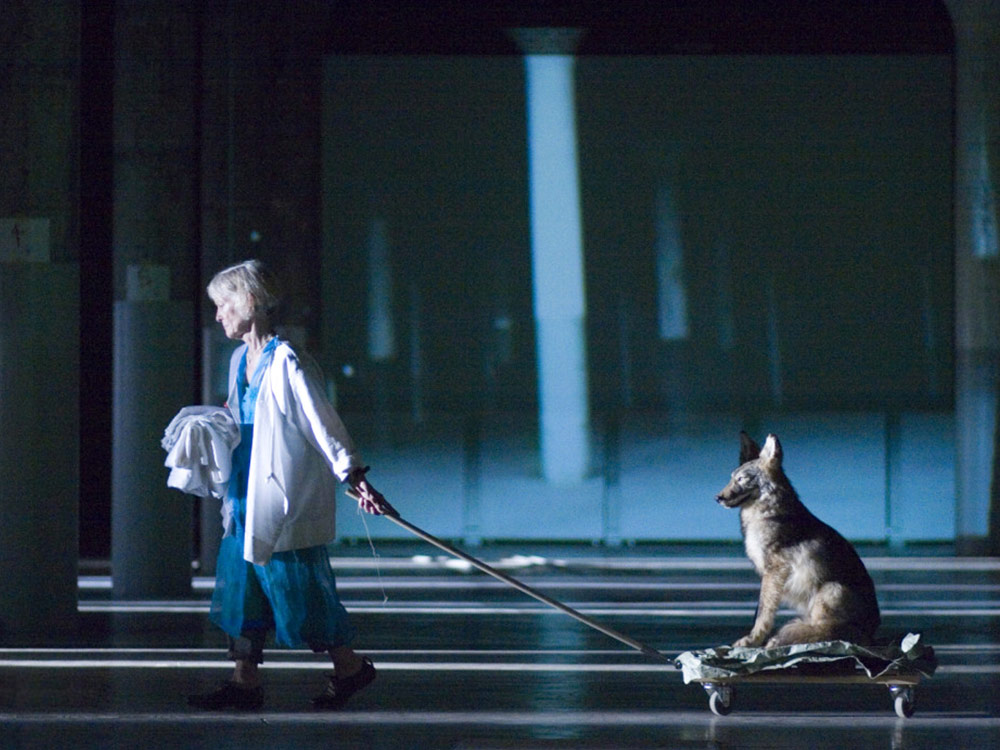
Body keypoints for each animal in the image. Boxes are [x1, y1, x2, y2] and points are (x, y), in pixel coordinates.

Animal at [716, 434, 880, 652]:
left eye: (741, 479)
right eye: (731, 478)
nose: (718, 498)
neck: (768, 512)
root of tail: (872, 633)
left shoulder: (774, 571)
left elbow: (762, 612)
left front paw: (752, 640)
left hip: (829, 589)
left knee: (831, 632)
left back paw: (783, 639)